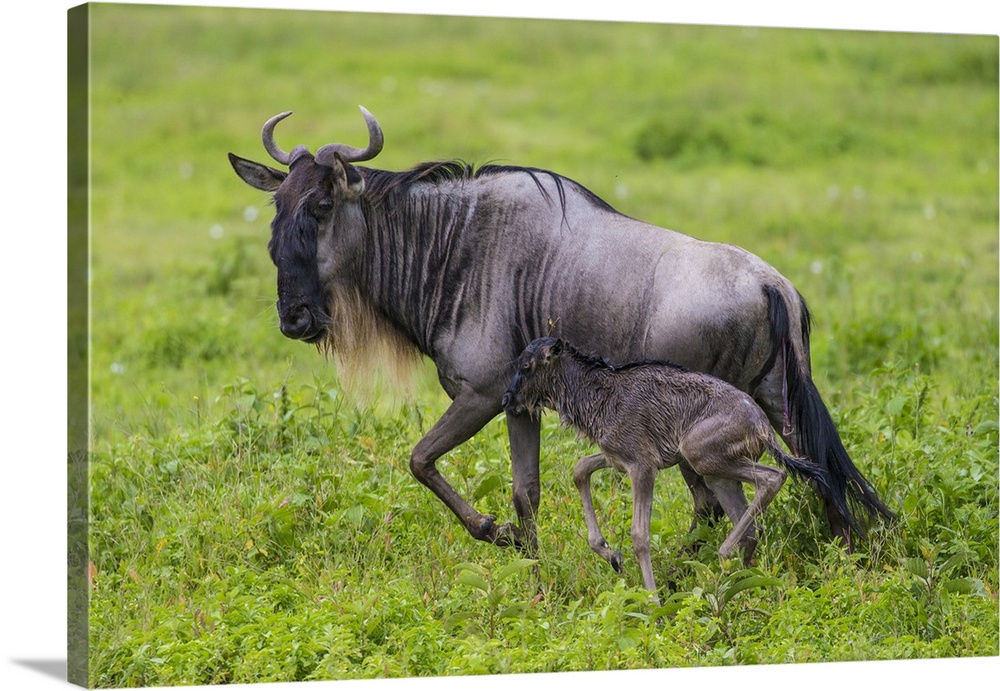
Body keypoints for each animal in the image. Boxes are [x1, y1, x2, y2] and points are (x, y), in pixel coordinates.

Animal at [504, 338, 824, 596]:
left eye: (526, 366)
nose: (508, 399)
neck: (600, 396)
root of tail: (762, 426)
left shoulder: (643, 465)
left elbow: (639, 536)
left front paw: (653, 603)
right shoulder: (617, 457)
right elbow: (580, 469)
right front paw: (610, 554)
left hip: (697, 454)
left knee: (773, 478)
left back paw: (722, 557)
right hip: (717, 473)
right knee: (750, 526)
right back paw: (739, 585)